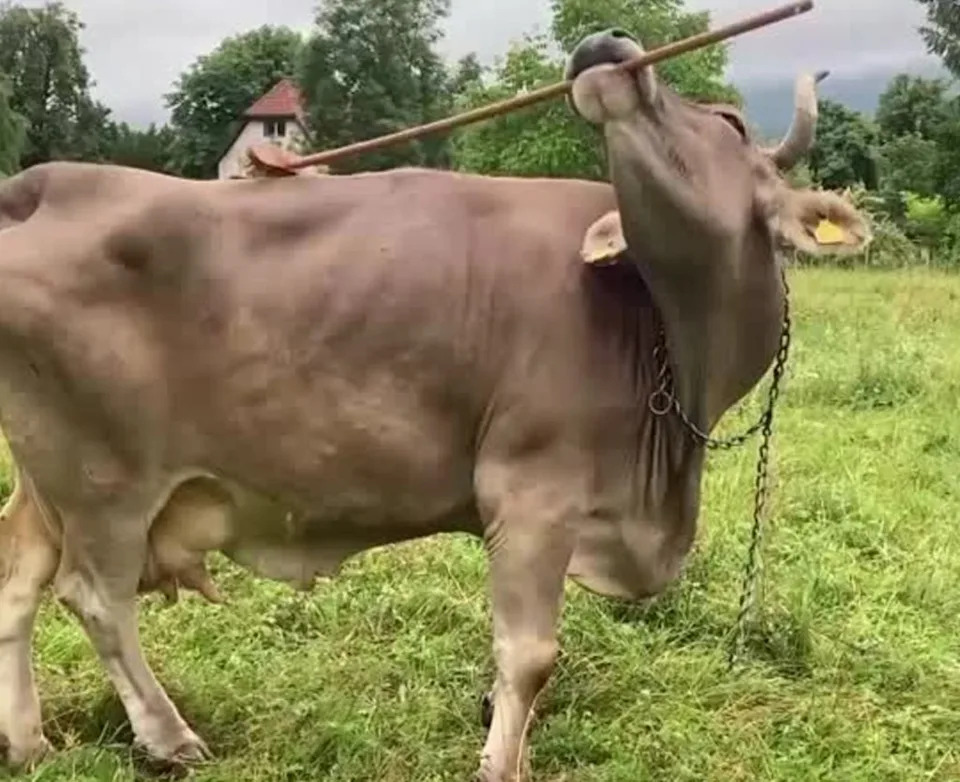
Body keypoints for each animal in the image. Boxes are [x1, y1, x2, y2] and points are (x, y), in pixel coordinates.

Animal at [0, 29, 869, 782]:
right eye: (730, 120)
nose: (606, 43)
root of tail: (48, 181)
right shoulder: (531, 491)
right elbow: (529, 654)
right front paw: (502, 765)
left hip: (45, 478)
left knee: (18, 579)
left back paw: (31, 741)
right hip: (105, 481)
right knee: (95, 598)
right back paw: (168, 736)